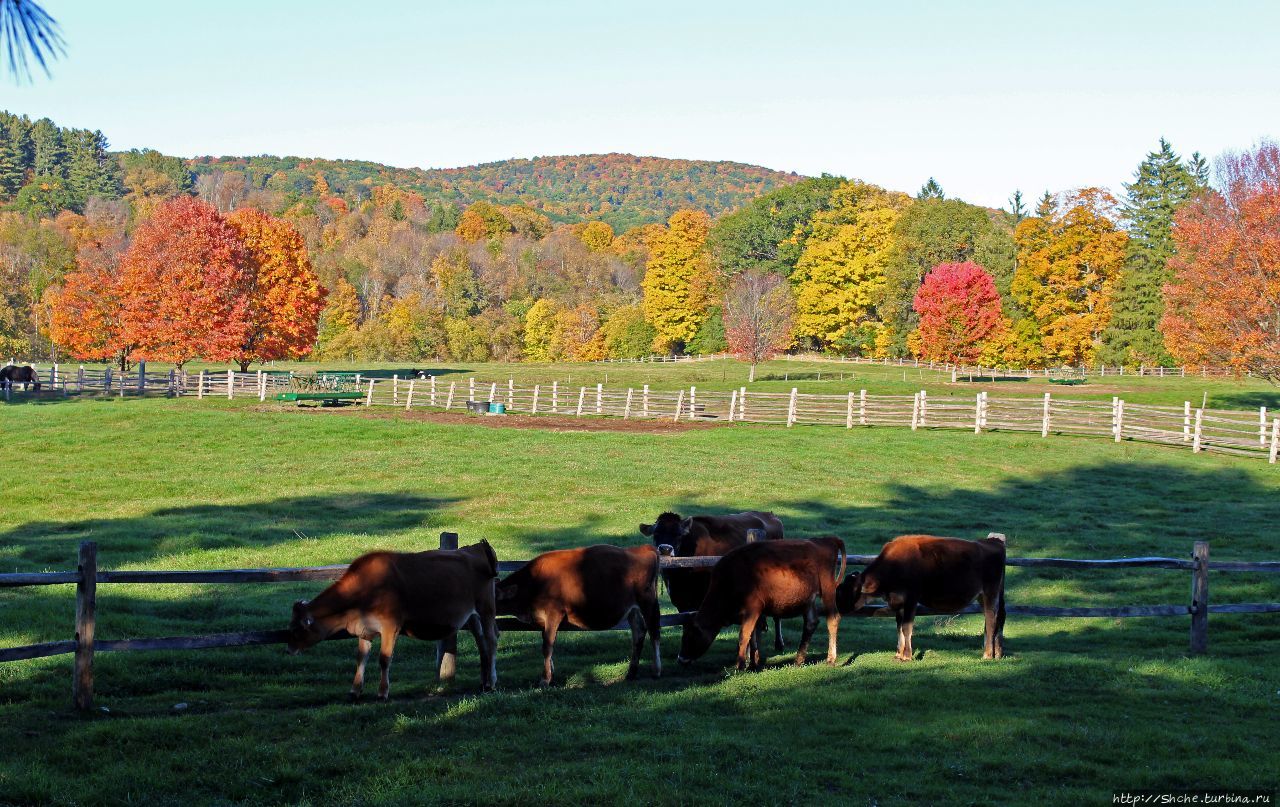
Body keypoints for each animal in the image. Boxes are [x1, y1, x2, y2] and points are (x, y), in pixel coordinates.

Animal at [286, 543, 499, 701]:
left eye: (297, 629)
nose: (289, 649)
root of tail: (477, 547)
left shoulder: (390, 626)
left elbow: (384, 659)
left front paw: (382, 693)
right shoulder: (365, 629)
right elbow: (361, 658)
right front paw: (355, 691)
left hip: (486, 608)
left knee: (491, 640)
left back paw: (492, 683)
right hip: (472, 617)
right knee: (482, 644)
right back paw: (484, 682)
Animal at [496, 543, 665, 691]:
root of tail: (643, 548)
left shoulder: (553, 613)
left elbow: (547, 646)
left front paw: (545, 679)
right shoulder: (544, 619)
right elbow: (547, 643)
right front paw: (551, 672)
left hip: (648, 601)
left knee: (654, 632)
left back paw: (656, 671)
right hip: (631, 609)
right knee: (639, 632)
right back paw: (631, 672)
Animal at [634, 514, 783, 655]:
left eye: (678, 535)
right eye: (656, 533)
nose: (665, 549)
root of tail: (771, 516)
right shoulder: (681, 602)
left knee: (777, 616)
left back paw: (779, 644)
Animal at [675, 538, 844, 676]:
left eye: (689, 636)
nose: (680, 659)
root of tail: (826, 540)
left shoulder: (753, 608)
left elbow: (744, 635)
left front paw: (740, 665)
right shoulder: (754, 612)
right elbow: (753, 636)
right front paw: (752, 664)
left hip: (828, 589)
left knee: (833, 619)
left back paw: (831, 659)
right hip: (808, 599)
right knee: (810, 623)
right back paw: (799, 659)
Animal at [839, 535, 1008, 660]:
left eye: (850, 591)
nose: (839, 608)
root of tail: (995, 542)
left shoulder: (911, 600)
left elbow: (907, 627)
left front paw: (907, 656)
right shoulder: (899, 603)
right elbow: (899, 627)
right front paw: (898, 654)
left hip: (990, 593)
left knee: (991, 620)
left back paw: (987, 655)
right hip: (985, 597)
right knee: (994, 620)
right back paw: (996, 653)